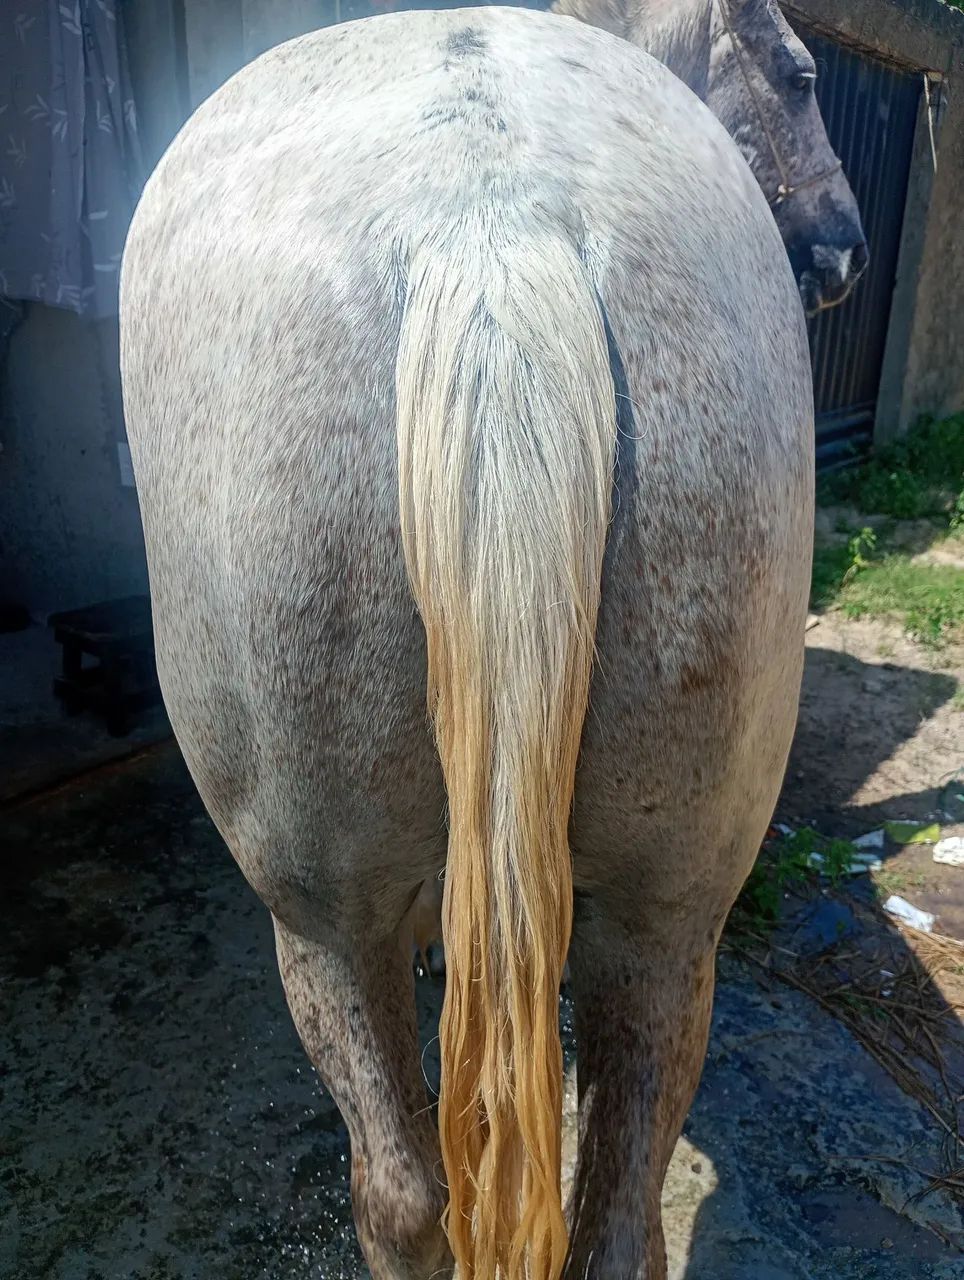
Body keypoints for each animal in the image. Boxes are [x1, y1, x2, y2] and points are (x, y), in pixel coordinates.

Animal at [120, 7, 814, 1277]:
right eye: (796, 75)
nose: (839, 252)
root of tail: (489, 227)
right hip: (669, 916)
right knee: (615, 1218)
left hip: (321, 921)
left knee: (403, 1192)